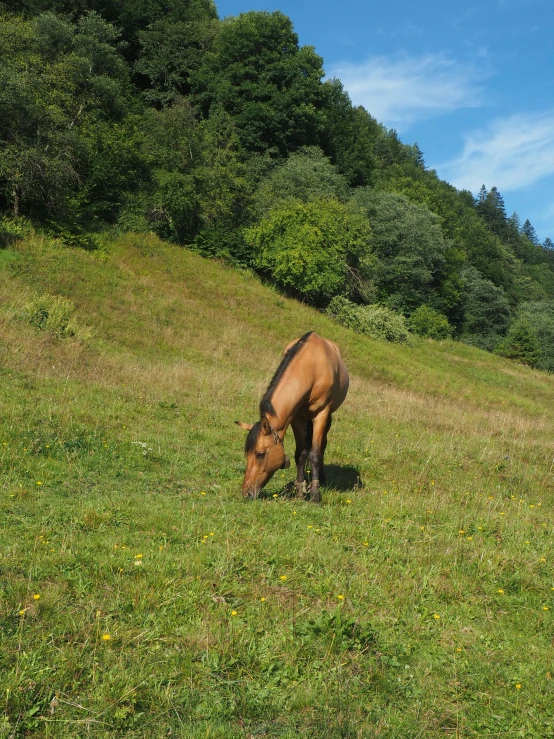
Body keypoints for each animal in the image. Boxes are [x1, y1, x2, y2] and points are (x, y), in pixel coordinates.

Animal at [234, 330, 348, 500]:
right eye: (246, 453)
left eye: (260, 454)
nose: (246, 492)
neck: (311, 368)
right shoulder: (297, 417)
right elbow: (300, 453)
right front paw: (300, 491)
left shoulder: (321, 414)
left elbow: (315, 453)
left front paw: (315, 494)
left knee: (322, 445)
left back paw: (320, 477)